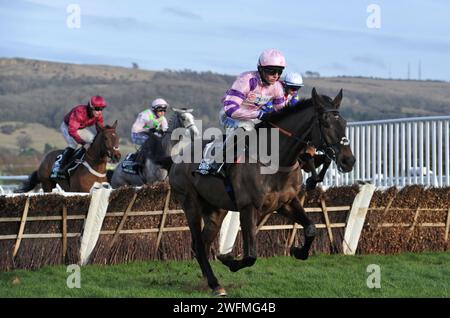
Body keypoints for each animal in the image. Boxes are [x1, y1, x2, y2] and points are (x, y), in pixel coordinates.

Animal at [168, 87, 356, 296]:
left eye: (344, 122)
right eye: (325, 122)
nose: (349, 160)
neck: (276, 160)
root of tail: (177, 160)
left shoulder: (286, 203)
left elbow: (311, 228)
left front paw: (298, 251)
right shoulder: (248, 207)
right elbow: (251, 255)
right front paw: (229, 260)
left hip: (216, 210)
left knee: (202, 242)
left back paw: (209, 281)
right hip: (189, 203)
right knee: (199, 244)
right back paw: (216, 285)